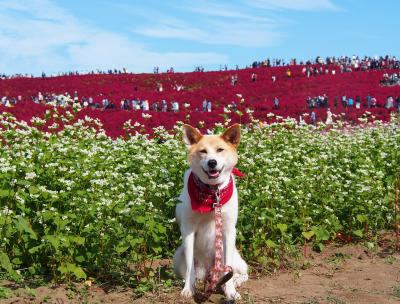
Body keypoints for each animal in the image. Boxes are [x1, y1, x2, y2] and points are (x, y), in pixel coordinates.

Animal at [174, 123, 248, 300]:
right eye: (203, 151)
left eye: (220, 150)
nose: (212, 162)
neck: (212, 192)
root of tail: (208, 272)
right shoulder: (188, 230)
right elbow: (189, 268)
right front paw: (188, 289)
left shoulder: (228, 230)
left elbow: (228, 268)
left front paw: (230, 291)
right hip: (178, 255)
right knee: (191, 273)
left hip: (237, 257)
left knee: (240, 272)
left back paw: (235, 281)